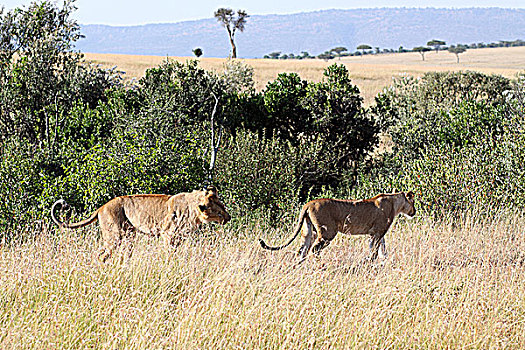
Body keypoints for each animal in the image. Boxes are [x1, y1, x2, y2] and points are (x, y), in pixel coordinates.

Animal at [52, 187, 230, 262]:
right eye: (219, 211)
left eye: (223, 205)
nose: (228, 217)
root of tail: (101, 207)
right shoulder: (167, 234)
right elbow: (169, 254)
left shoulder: (178, 237)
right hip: (115, 236)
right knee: (103, 255)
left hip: (128, 235)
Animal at [258, 191, 414, 262]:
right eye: (413, 203)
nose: (415, 211)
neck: (395, 202)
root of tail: (308, 204)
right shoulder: (378, 232)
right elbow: (376, 250)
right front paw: (373, 262)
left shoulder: (376, 233)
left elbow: (381, 248)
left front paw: (382, 260)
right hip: (327, 232)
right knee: (314, 250)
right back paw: (319, 266)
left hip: (308, 231)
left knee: (302, 250)